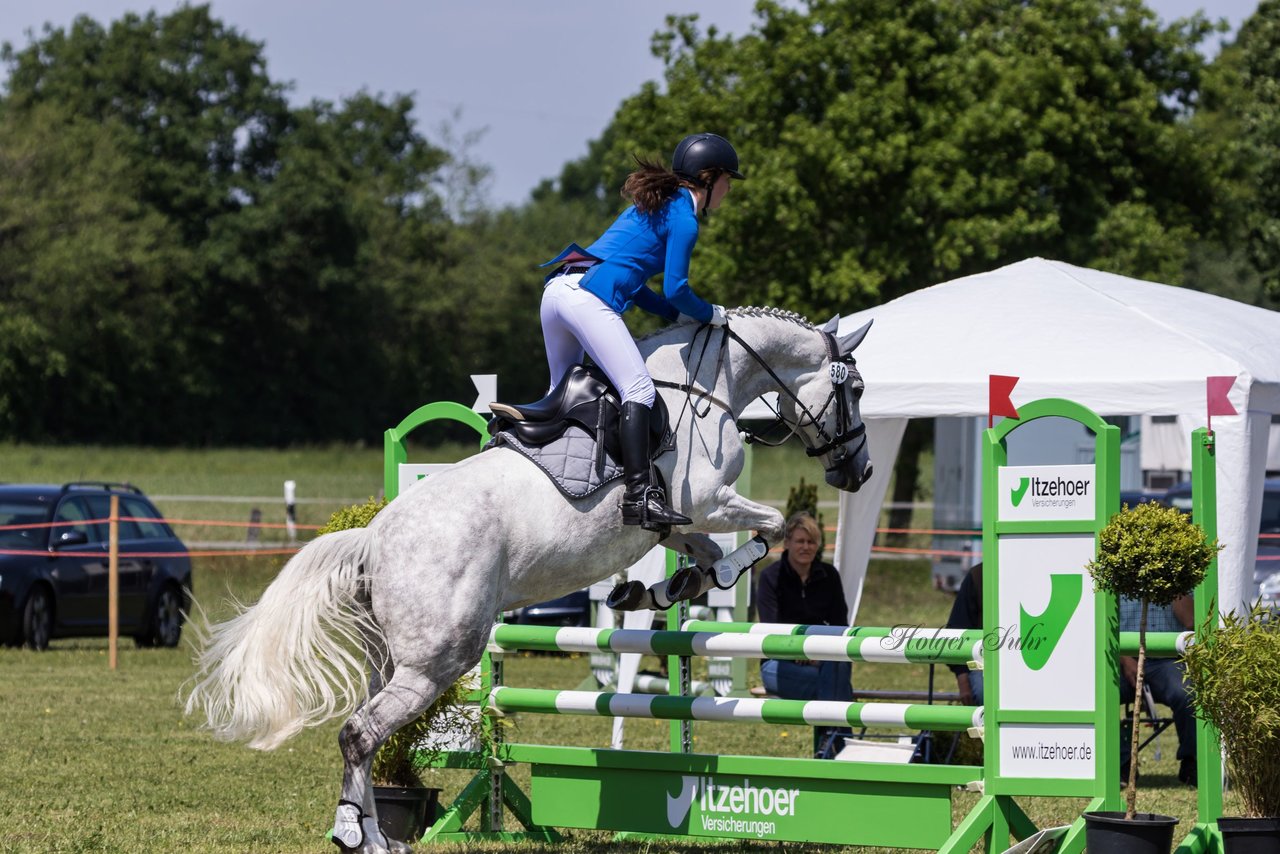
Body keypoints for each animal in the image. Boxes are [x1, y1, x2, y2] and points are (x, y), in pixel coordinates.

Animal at [185, 308, 875, 854]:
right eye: (858, 388)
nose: (859, 472)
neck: (707, 385)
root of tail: (374, 538)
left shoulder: (676, 523)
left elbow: (697, 555)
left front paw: (656, 592)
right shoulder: (708, 501)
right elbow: (771, 526)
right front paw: (722, 570)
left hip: (393, 660)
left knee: (371, 734)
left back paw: (377, 833)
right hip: (438, 658)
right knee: (361, 734)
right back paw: (363, 838)